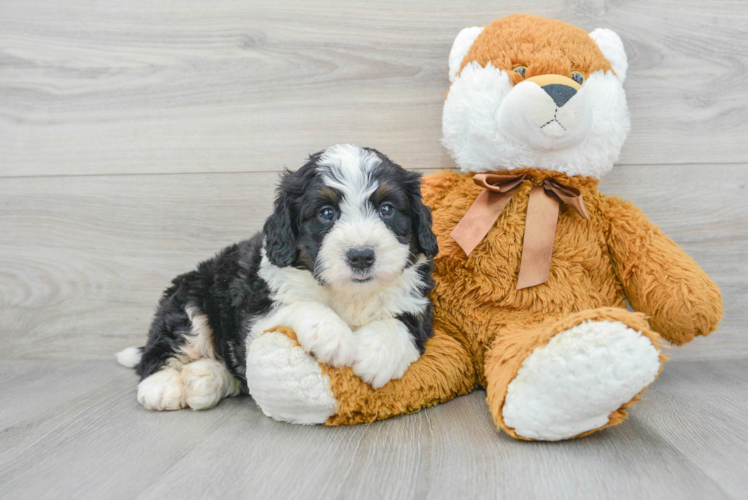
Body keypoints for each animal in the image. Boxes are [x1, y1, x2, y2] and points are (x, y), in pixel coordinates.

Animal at [116, 144, 438, 410]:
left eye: (387, 209)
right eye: (326, 213)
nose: (361, 256)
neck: (349, 293)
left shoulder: (416, 299)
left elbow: (404, 322)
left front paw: (376, 352)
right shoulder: (256, 313)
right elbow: (300, 305)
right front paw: (331, 334)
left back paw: (204, 379)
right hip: (189, 301)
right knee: (160, 352)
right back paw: (162, 386)